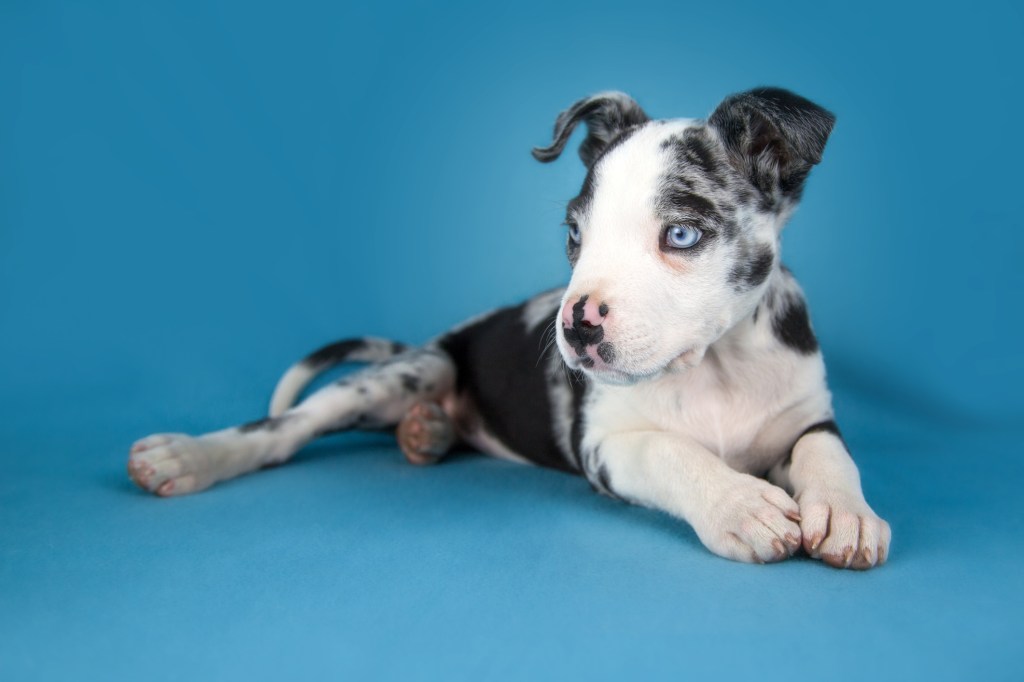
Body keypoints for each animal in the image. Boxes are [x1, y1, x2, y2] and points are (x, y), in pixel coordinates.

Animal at [132, 87, 892, 569]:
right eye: (575, 236)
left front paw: (844, 513)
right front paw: (739, 503)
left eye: (681, 234)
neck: (716, 365)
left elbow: (828, 453)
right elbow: (674, 453)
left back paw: (426, 430)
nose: (577, 327)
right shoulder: (606, 446)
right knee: (283, 431)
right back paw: (188, 456)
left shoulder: (806, 414)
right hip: (414, 370)